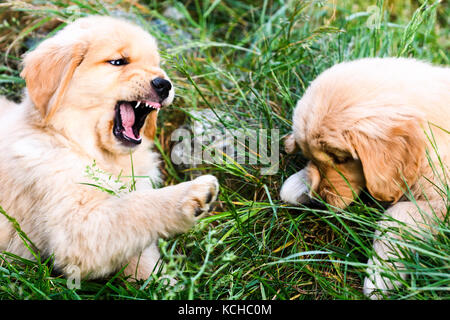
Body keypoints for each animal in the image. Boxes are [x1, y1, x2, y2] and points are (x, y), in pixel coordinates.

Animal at [0, 15, 220, 280]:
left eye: (157, 64)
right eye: (118, 62)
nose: (164, 84)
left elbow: (143, 258)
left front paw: (166, 283)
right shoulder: (74, 227)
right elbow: (134, 207)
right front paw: (190, 193)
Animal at [280, 57, 448, 298]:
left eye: (340, 158)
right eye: (310, 157)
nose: (319, 201)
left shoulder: (441, 200)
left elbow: (394, 216)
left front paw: (381, 277)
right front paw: (298, 184)